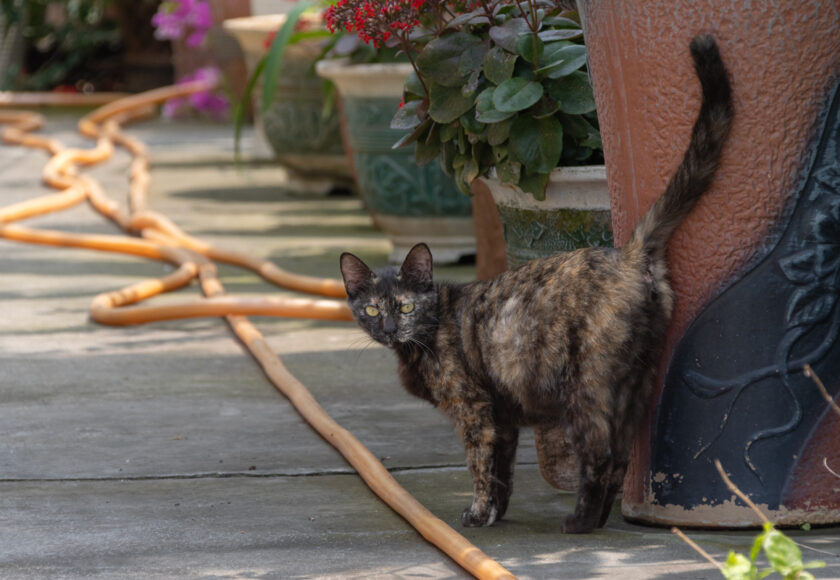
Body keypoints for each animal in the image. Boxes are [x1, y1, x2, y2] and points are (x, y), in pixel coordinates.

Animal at [338, 36, 732, 532]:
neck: (426, 337)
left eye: (406, 306)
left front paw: (475, 514)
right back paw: (595, 519)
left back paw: (580, 522)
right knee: (621, 453)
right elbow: (501, 472)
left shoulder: (474, 410)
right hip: (636, 382)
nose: (390, 329)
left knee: (601, 454)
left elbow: (479, 466)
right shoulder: (501, 418)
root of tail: (628, 253)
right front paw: (493, 515)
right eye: (372, 309)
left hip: (587, 389)